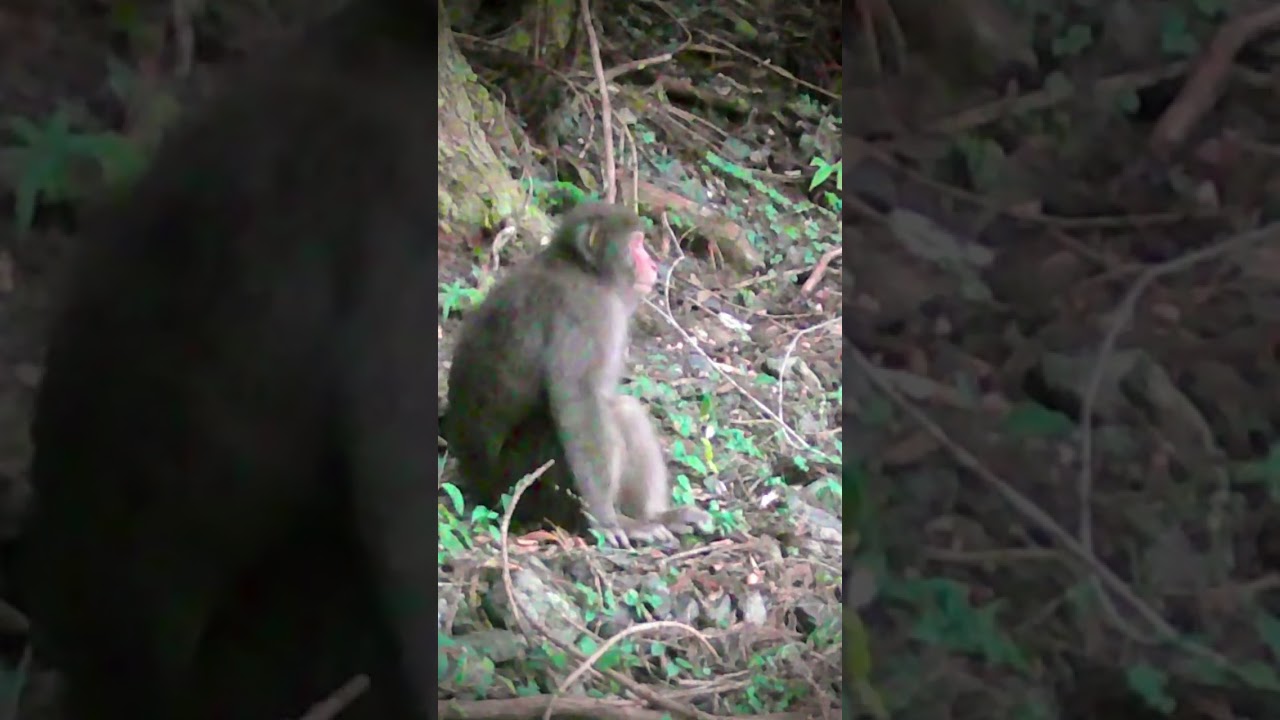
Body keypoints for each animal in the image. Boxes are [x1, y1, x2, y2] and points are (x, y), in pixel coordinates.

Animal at [444, 203, 710, 548]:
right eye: (636, 244)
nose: (652, 264)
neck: (585, 271)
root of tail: (479, 486)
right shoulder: (586, 311)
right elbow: (579, 401)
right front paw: (606, 519)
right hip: (529, 483)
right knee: (613, 410)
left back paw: (656, 517)